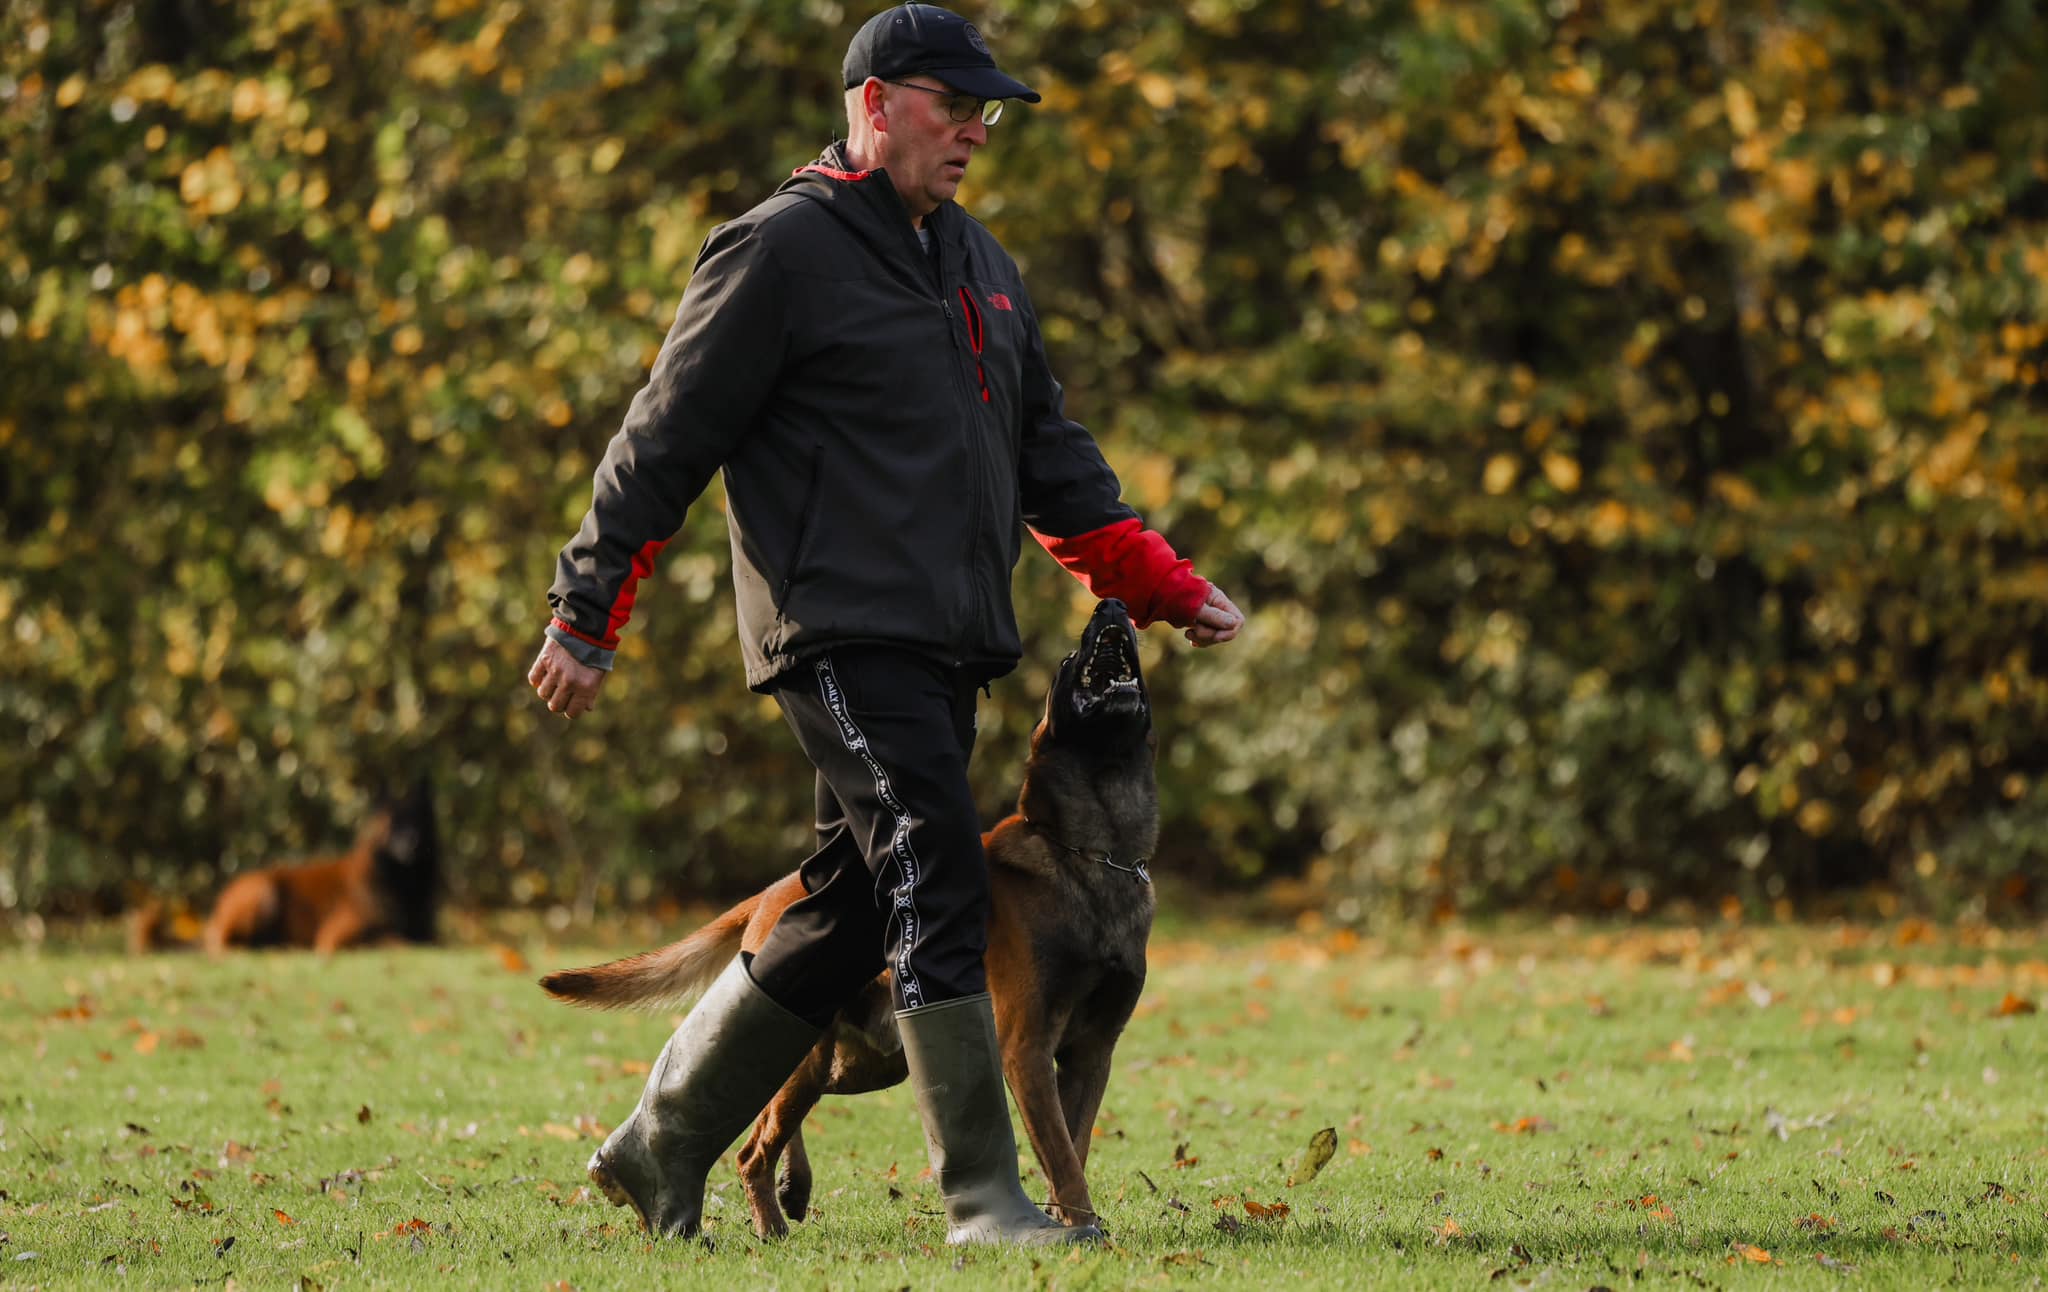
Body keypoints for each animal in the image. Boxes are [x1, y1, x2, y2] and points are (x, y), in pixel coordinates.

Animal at [128, 773, 440, 954]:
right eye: (393, 821)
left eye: (417, 818)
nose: (411, 841)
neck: (401, 883)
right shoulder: (334, 936)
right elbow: (396, 940)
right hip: (263, 892)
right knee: (223, 943)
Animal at [536, 601, 1163, 1236]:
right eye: (1067, 661)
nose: (1111, 606)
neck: (1090, 852)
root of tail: (777, 890)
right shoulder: (1027, 1048)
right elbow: (1062, 1155)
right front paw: (1083, 1231)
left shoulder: (1091, 1054)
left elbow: (1074, 1148)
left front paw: (1071, 1221)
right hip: (823, 1055)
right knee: (751, 1145)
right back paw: (764, 1222)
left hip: (859, 1062)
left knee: (764, 1112)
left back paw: (789, 1189)